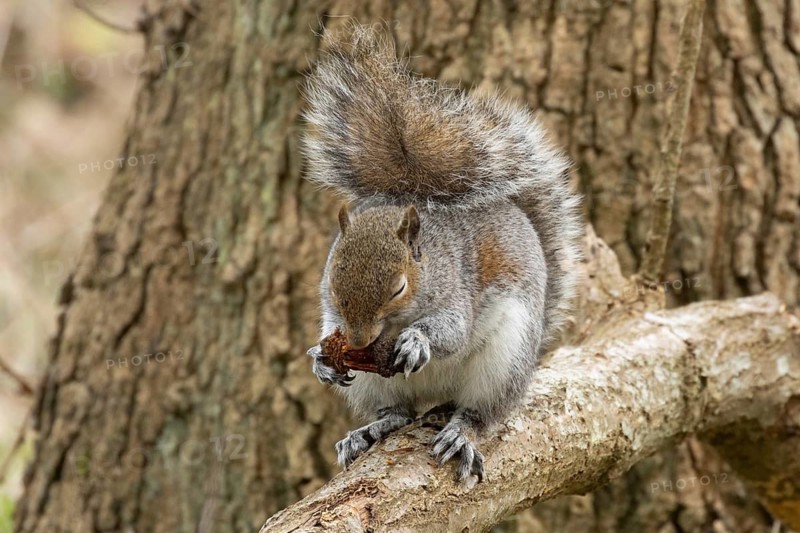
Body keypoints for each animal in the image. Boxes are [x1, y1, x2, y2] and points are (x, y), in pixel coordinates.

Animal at [303, 24, 583, 482]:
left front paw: (418, 341)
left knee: (480, 413)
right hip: (374, 383)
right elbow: (330, 326)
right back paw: (367, 432)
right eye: (332, 279)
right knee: (399, 412)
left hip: (504, 361)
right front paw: (320, 359)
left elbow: (452, 331)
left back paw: (459, 434)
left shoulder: (456, 288)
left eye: (399, 287)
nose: (359, 342)